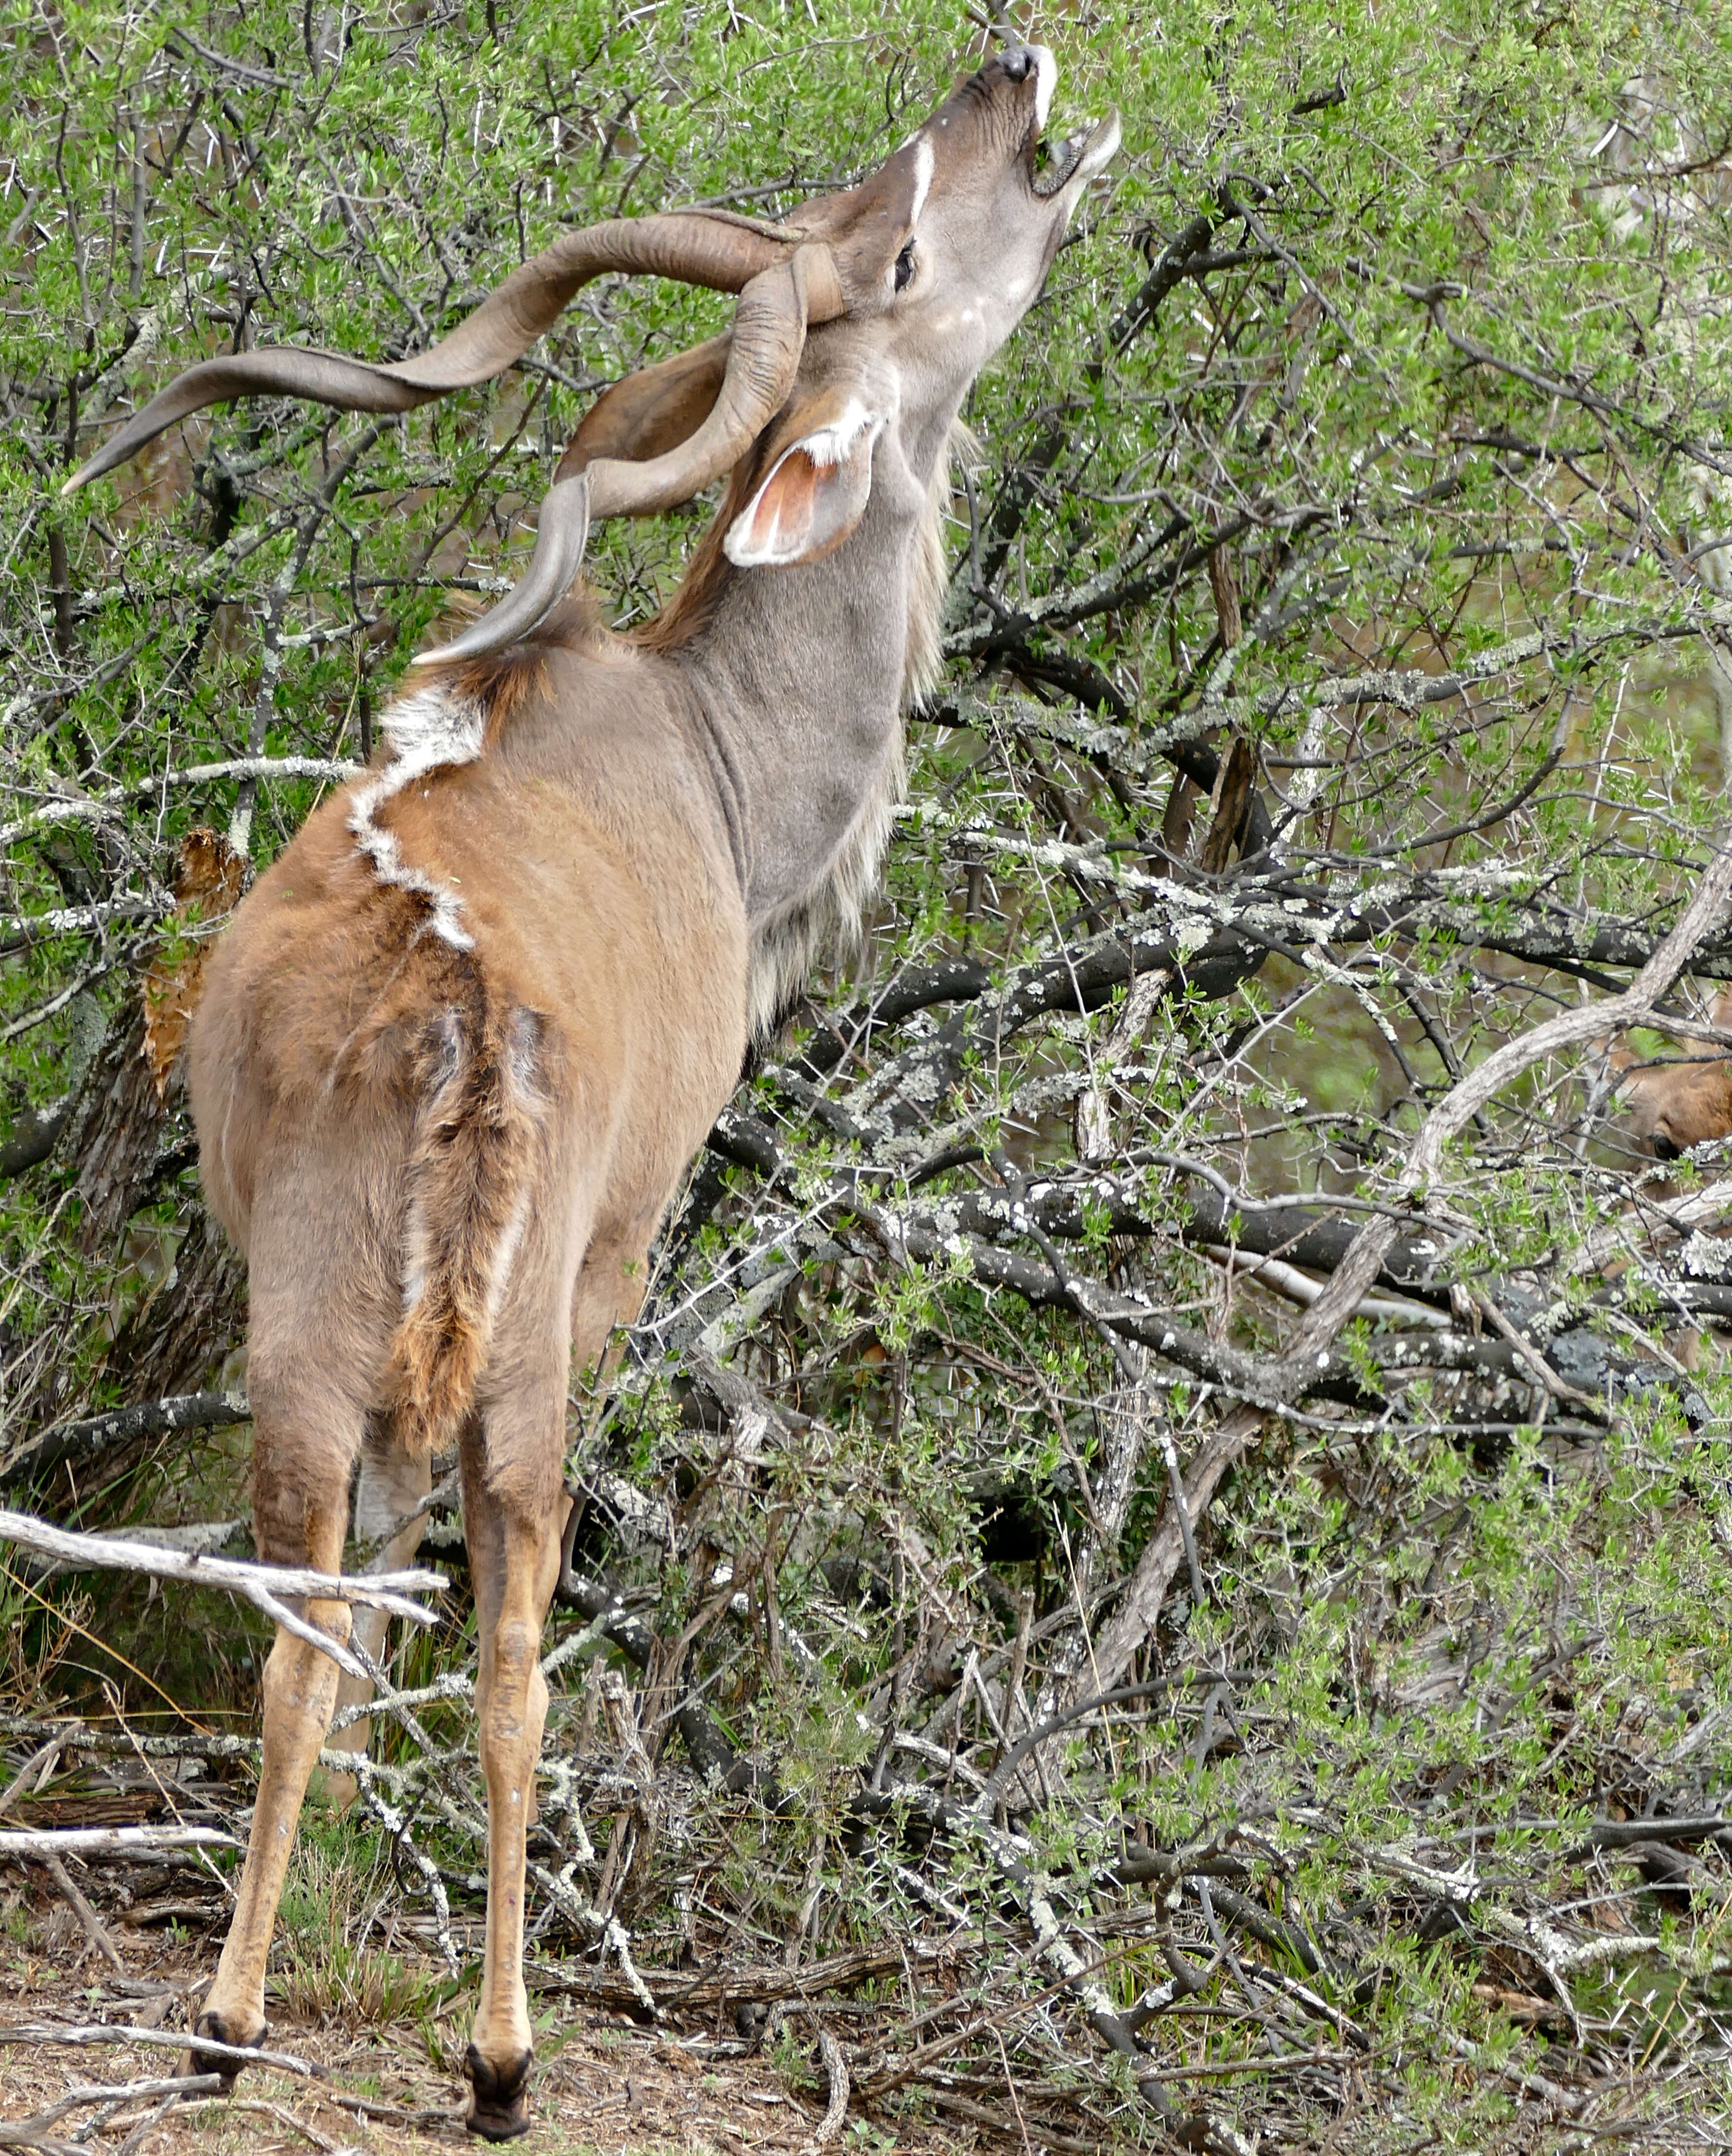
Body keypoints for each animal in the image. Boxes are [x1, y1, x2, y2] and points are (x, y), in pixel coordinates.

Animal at [61, 38, 1121, 2139]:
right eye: (899, 242)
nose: (1005, 66)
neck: (706, 764)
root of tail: (468, 1023)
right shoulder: (622, 1252)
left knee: (360, 1612)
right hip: (462, 1346)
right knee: (462, 1644)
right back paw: (416, 2045)